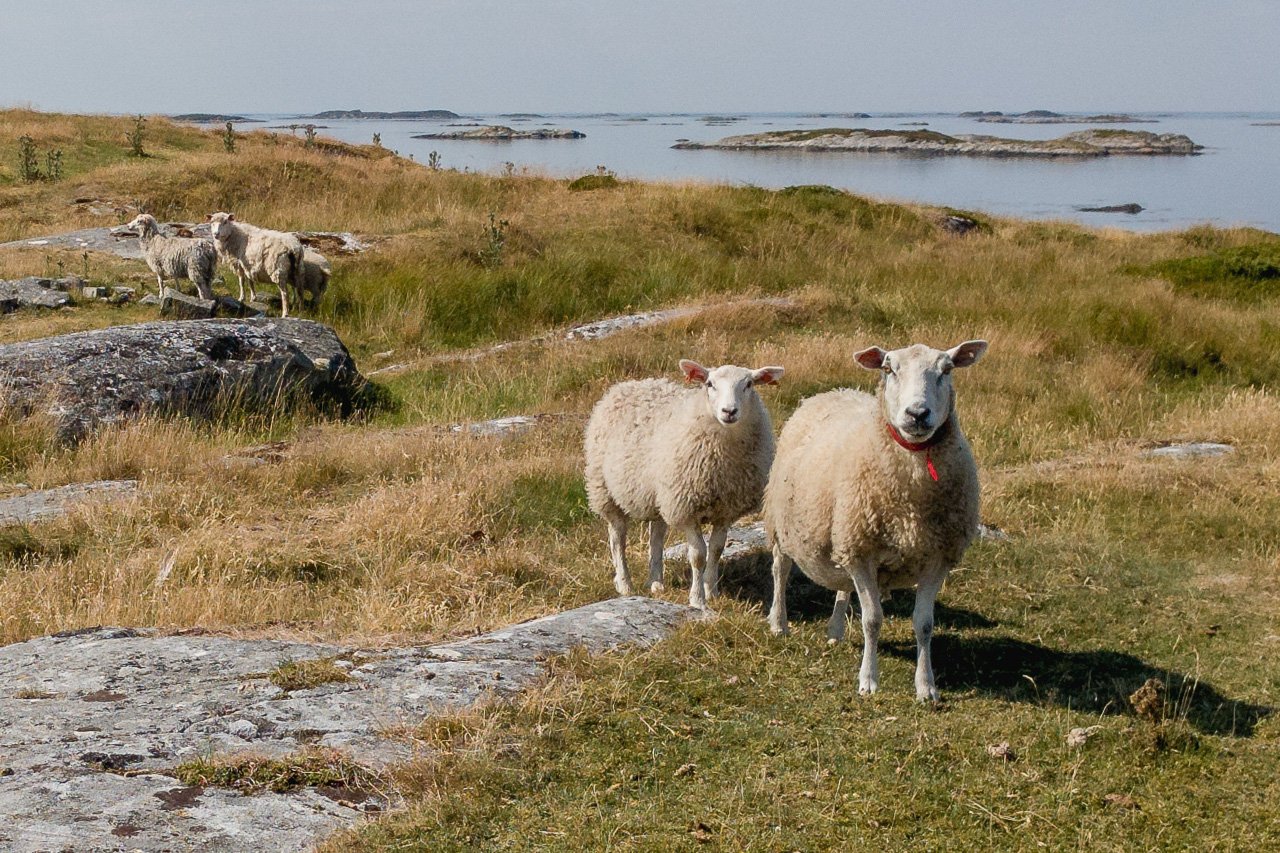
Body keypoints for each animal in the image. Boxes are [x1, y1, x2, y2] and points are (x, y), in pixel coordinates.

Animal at [586, 356, 783, 604]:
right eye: (709, 384)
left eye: (749, 384)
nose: (729, 411)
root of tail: (631, 384)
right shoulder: (686, 506)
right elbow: (698, 554)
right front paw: (697, 599)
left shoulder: (725, 509)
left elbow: (716, 549)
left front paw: (712, 591)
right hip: (604, 490)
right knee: (617, 539)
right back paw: (625, 584)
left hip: (659, 495)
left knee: (656, 536)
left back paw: (656, 582)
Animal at [757, 338, 988, 696]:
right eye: (889, 369)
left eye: (947, 370)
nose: (917, 414)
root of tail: (835, 391)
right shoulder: (863, 553)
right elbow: (872, 620)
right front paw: (868, 680)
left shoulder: (937, 556)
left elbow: (924, 623)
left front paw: (926, 686)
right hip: (785, 522)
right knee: (780, 570)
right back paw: (779, 624)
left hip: (844, 534)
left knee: (842, 585)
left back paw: (835, 631)